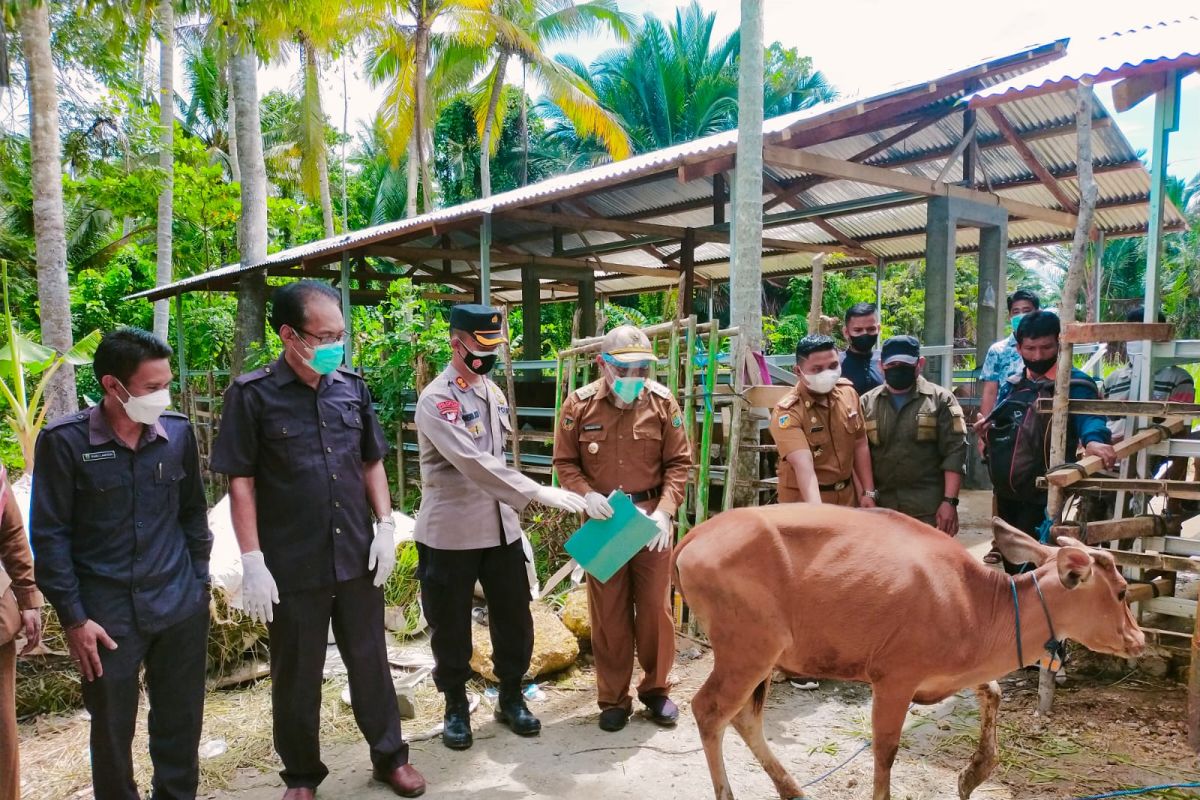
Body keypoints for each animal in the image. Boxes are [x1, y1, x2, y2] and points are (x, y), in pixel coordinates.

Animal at [676, 506, 1142, 800]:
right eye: (1121, 591)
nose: (1138, 639)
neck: (974, 605)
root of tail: (693, 536)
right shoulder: (894, 679)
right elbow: (885, 752)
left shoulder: (955, 672)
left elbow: (993, 692)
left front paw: (973, 775)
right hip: (748, 649)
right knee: (709, 710)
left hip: (763, 657)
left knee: (744, 717)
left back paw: (792, 790)